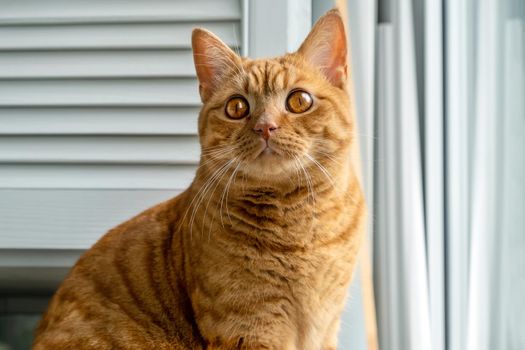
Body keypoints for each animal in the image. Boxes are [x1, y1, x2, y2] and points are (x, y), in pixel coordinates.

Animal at [33, 9, 364, 348]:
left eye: (299, 101)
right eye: (237, 107)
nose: (265, 126)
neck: (297, 228)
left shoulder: (325, 326)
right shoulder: (247, 329)